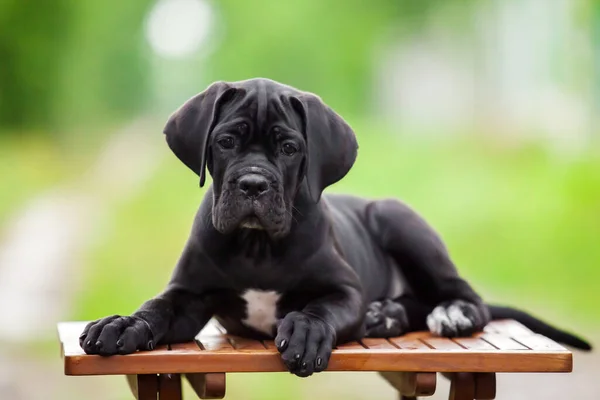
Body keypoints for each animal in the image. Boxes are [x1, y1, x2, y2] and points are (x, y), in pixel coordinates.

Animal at [79, 78, 592, 378]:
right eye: (225, 142)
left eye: (289, 148)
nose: (252, 184)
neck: (256, 246)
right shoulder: (188, 295)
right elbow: (157, 308)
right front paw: (122, 323)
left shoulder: (345, 289)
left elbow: (319, 307)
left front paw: (306, 331)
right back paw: (386, 315)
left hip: (397, 219)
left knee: (464, 295)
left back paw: (448, 314)